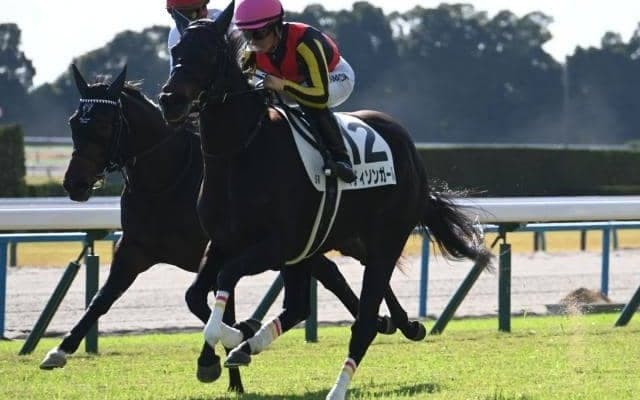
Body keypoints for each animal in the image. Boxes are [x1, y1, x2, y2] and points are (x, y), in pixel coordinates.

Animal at [47, 64, 423, 393]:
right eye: (74, 124)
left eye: (103, 125)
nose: (74, 183)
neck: (168, 179)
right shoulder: (136, 249)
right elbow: (102, 299)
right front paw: (60, 349)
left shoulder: (228, 248)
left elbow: (215, 306)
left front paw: (228, 358)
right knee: (336, 275)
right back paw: (390, 321)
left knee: (359, 270)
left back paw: (399, 322)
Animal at [158, 3, 492, 399]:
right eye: (176, 51)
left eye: (209, 53)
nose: (170, 100)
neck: (242, 151)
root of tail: (410, 152)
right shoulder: (224, 242)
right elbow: (194, 295)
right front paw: (225, 346)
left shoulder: (277, 245)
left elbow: (226, 280)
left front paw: (231, 337)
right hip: (346, 241)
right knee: (305, 305)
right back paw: (401, 324)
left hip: (385, 238)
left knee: (360, 324)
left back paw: (338, 385)